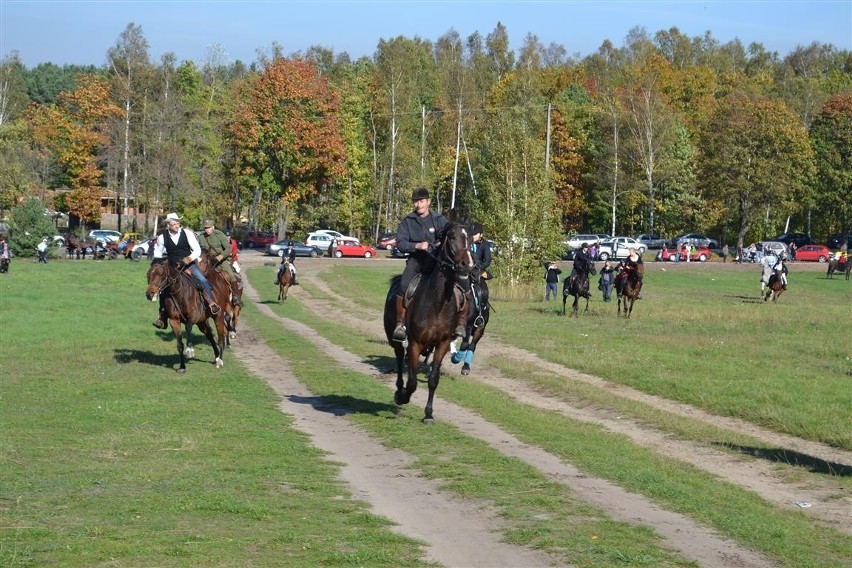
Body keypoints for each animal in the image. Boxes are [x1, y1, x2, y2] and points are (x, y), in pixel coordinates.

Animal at [384, 222, 476, 422]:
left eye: (470, 239)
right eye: (451, 237)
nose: (466, 265)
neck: (437, 303)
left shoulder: (442, 344)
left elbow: (433, 379)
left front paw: (428, 414)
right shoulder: (415, 344)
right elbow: (412, 382)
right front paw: (403, 396)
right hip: (395, 339)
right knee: (399, 358)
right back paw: (399, 391)